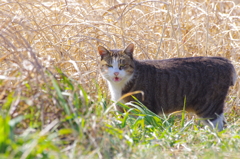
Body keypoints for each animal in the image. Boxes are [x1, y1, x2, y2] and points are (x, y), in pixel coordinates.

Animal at [98, 42, 237, 130]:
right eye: (109, 66)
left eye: (123, 66)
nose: (116, 73)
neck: (119, 87)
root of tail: (225, 61)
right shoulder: (121, 109)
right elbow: (124, 125)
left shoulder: (146, 109)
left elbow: (145, 125)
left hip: (208, 107)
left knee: (220, 127)